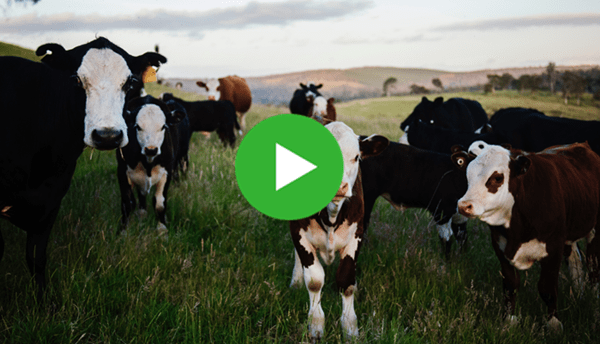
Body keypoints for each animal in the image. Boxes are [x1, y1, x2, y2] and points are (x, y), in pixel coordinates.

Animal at [0, 36, 166, 296]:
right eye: (76, 80)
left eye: (130, 82)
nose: (108, 136)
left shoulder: (52, 200)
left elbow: (37, 257)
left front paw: (43, 302)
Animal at [116, 95, 188, 232]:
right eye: (138, 126)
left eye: (163, 126)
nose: (151, 149)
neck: (148, 163)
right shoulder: (122, 171)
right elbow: (127, 203)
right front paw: (123, 231)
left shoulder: (167, 172)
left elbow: (160, 204)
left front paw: (162, 229)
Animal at [290, 122, 390, 340]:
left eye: (356, 157)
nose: (338, 186)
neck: (332, 215)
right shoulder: (298, 232)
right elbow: (314, 280)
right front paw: (316, 325)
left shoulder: (356, 235)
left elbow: (346, 279)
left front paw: (350, 328)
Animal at [454, 141, 600, 330]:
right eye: (468, 175)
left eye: (498, 178)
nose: (464, 205)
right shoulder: (500, 246)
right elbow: (510, 285)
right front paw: (509, 321)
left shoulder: (554, 247)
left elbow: (547, 288)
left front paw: (553, 324)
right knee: (575, 261)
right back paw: (578, 294)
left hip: (594, 229)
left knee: (592, 263)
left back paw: (593, 297)